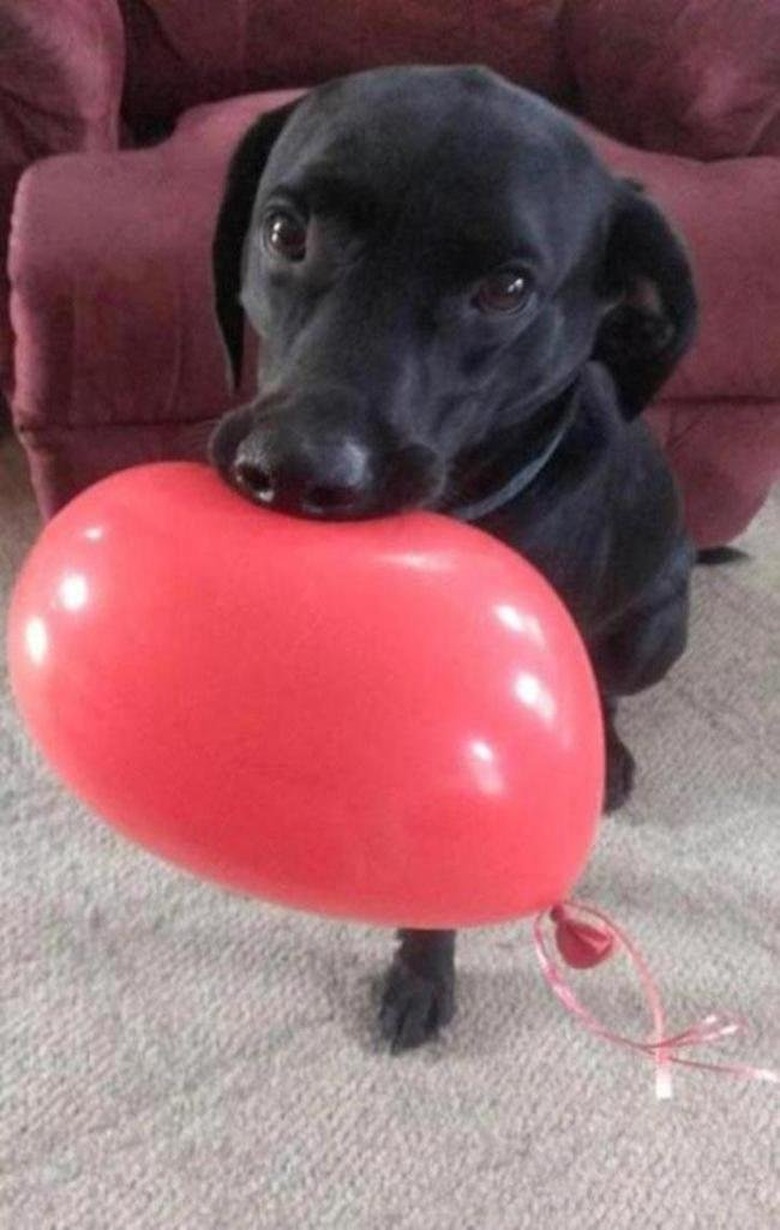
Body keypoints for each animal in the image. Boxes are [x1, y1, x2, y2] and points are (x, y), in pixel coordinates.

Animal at [206, 64, 693, 1047]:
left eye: (507, 289)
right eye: (285, 231)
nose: (295, 470)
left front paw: (422, 972)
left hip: (654, 628)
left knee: (608, 688)